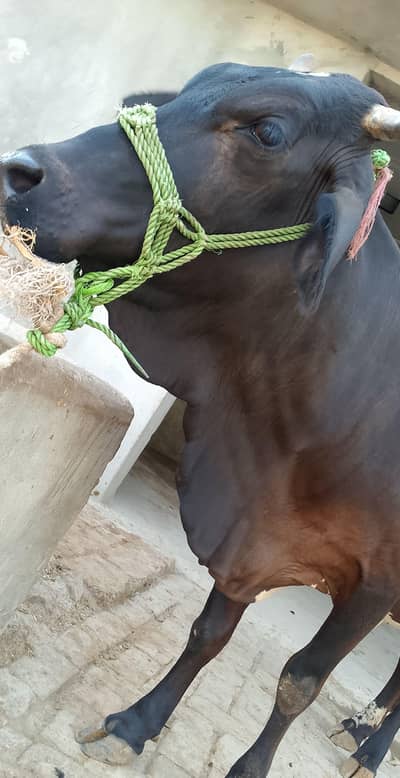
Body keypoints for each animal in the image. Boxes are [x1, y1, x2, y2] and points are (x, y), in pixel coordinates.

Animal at [2, 57, 400, 777]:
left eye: (268, 131)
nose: (20, 171)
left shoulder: (376, 581)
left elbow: (300, 680)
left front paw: (250, 766)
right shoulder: (251, 535)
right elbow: (207, 632)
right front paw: (138, 722)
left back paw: (375, 745)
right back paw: (365, 726)